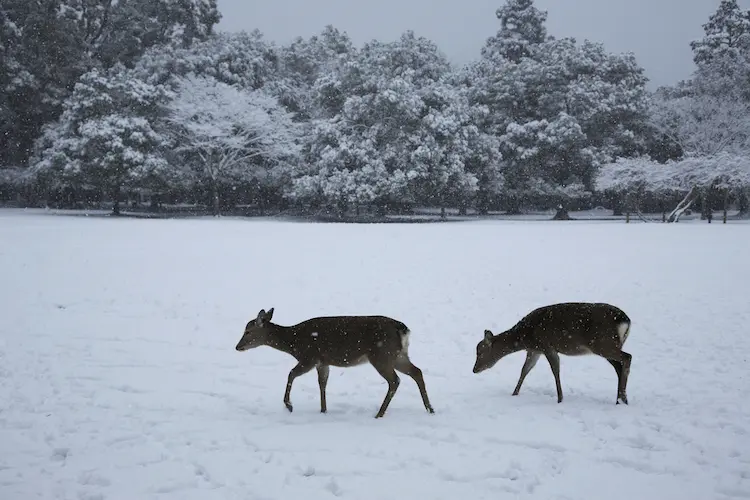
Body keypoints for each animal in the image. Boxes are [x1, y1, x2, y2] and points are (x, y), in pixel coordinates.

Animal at [235, 308, 434, 418]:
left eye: (248, 331)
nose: (238, 347)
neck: (293, 343)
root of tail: (403, 329)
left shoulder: (309, 357)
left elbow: (291, 374)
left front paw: (289, 405)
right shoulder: (323, 362)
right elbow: (322, 383)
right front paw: (323, 410)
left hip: (381, 355)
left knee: (395, 380)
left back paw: (379, 414)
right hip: (398, 355)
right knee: (417, 372)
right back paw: (430, 409)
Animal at [476, 302, 636, 404]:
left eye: (480, 352)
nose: (474, 369)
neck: (525, 337)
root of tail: (626, 321)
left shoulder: (547, 346)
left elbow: (555, 370)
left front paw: (560, 399)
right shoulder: (534, 350)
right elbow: (525, 370)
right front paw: (514, 394)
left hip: (603, 344)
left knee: (627, 357)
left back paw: (622, 398)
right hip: (608, 346)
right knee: (618, 366)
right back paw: (620, 399)